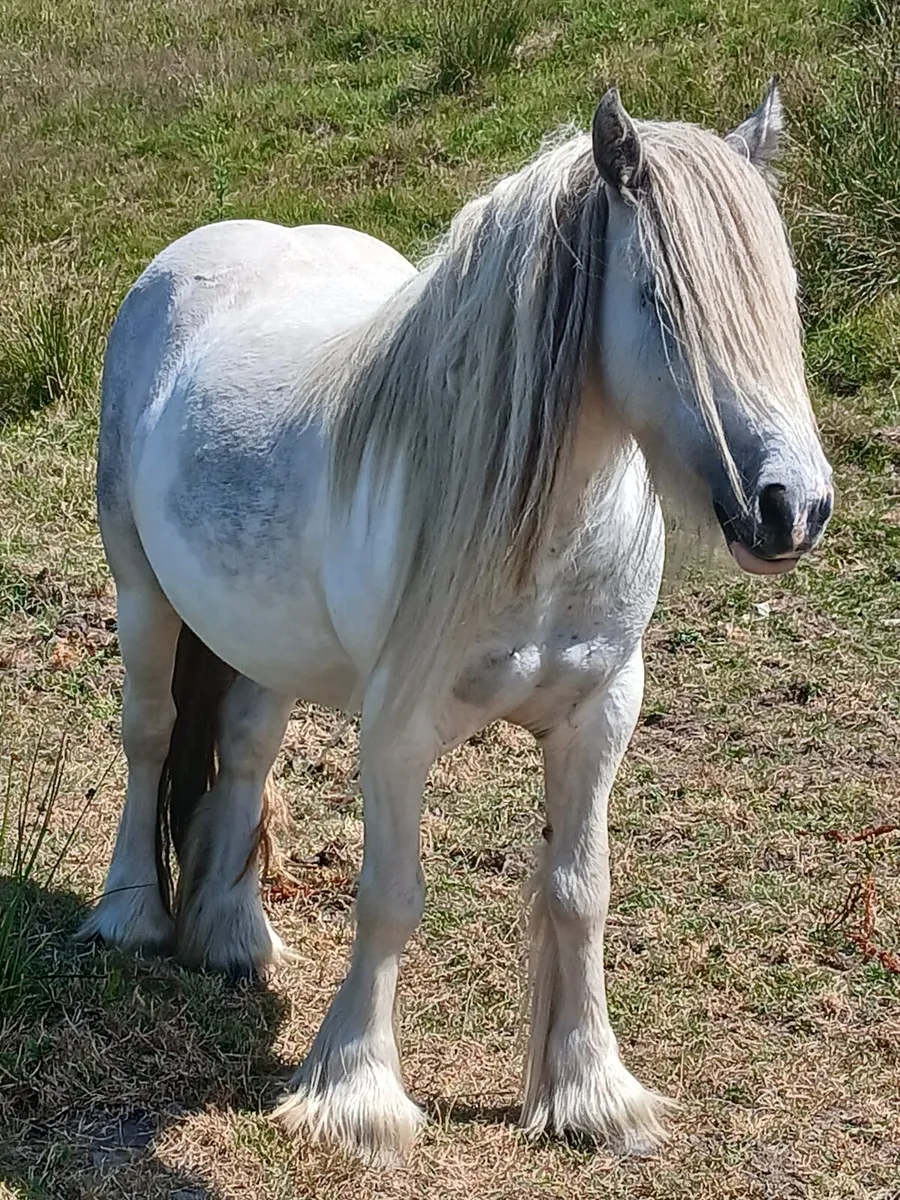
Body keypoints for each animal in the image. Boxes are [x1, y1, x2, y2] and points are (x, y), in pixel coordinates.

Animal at [78, 82, 833, 1163]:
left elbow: (580, 892)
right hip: (143, 594)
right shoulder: (398, 731)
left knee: (245, 750)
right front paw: (357, 1097)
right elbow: (392, 897)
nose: (793, 509)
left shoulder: (601, 714)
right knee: (149, 737)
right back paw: (132, 916)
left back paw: (234, 938)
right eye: (660, 301)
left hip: (257, 636)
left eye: (783, 298)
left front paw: (592, 1094)